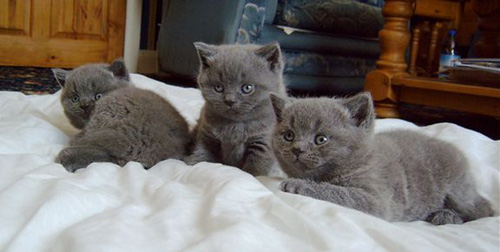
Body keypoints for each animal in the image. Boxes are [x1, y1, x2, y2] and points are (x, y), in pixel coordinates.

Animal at [183, 41, 286, 175]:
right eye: (218, 87)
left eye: (247, 88)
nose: (230, 101)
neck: (234, 125)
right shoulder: (207, 136)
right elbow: (201, 156)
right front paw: (193, 165)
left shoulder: (263, 142)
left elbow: (255, 170)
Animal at [270, 92, 492, 224]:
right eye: (289, 135)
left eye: (321, 139)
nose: (297, 149)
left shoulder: (378, 200)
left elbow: (339, 192)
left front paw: (297, 184)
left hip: (458, 192)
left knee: (485, 209)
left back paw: (446, 215)